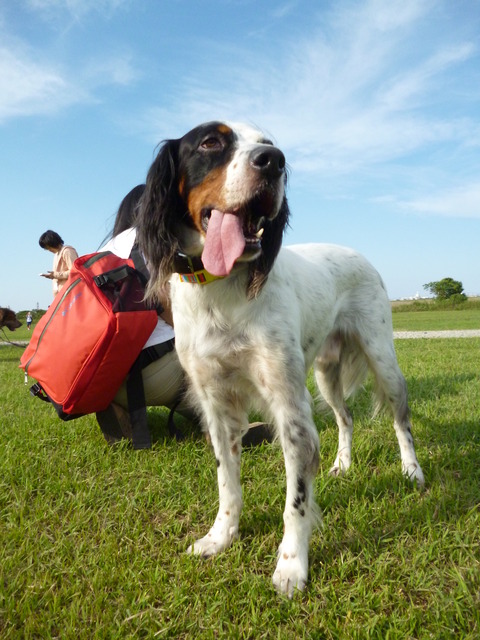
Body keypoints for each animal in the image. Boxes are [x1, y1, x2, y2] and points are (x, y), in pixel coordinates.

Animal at [135, 120, 424, 596]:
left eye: (268, 145)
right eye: (210, 142)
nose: (273, 162)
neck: (223, 290)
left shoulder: (289, 407)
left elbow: (296, 502)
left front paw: (291, 565)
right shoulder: (217, 407)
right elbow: (227, 485)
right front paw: (221, 537)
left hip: (383, 361)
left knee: (401, 421)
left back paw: (412, 470)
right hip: (324, 374)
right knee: (345, 419)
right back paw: (343, 464)